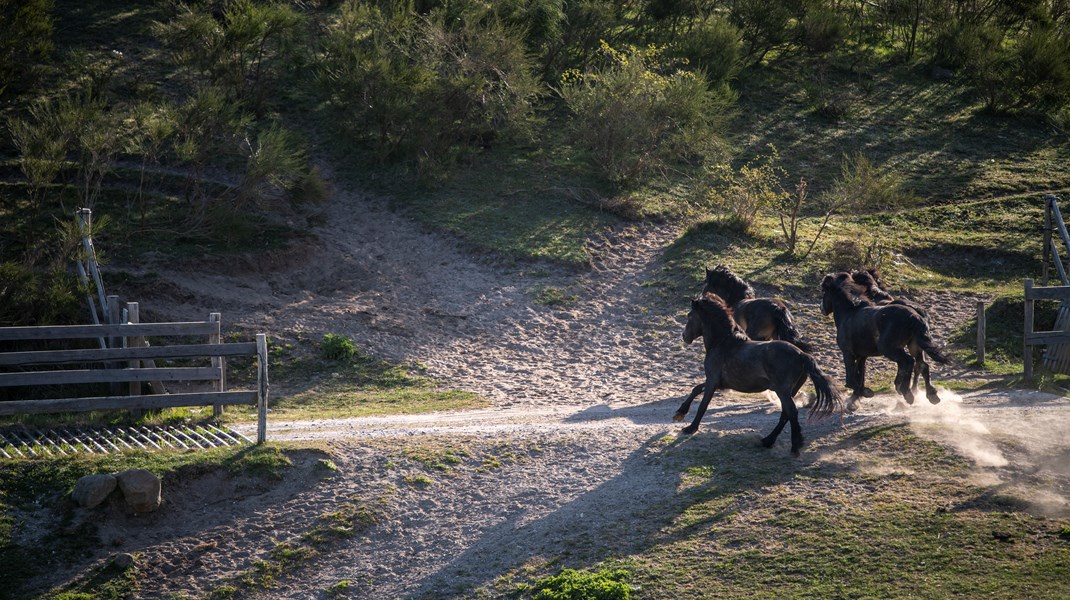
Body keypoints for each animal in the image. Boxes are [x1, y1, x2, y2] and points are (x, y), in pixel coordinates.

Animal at [676, 290, 843, 453]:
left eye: (689, 316)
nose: (684, 336)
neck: (722, 343)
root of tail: (801, 355)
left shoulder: (712, 381)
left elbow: (702, 404)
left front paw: (690, 428)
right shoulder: (717, 382)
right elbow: (696, 389)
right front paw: (680, 413)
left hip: (782, 391)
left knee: (791, 412)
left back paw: (795, 445)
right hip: (790, 391)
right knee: (785, 414)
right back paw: (768, 440)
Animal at [821, 272, 950, 408]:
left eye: (824, 291)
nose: (822, 308)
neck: (849, 313)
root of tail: (915, 316)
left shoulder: (848, 353)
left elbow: (851, 380)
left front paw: (865, 393)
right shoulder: (862, 356)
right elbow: (860, 376)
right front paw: (855, 400)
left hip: (888, 348)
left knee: (909, 361)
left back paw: (907, 392)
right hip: (914, 345)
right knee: (921, 365)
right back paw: (930, 395)